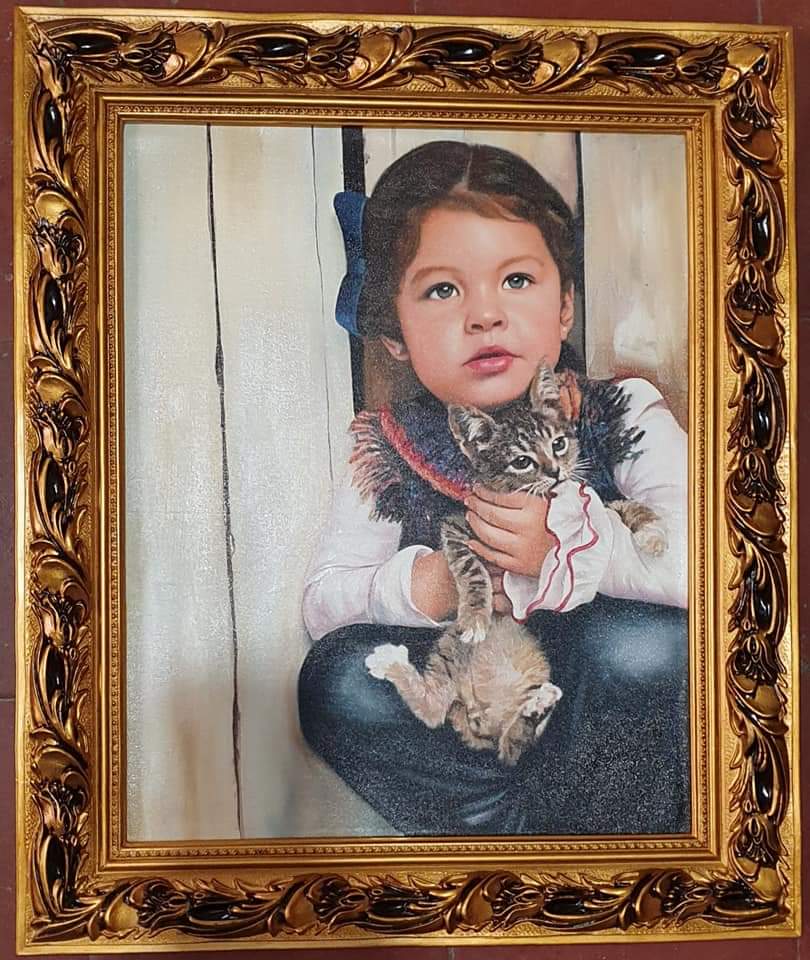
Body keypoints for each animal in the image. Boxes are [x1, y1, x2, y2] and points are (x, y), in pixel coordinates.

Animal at [366, 364, 667, 765]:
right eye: (522, 461)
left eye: (558, 443)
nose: (555, 471)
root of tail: (477, 712)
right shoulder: (459, 527)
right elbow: (471, 569)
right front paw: (475, 616)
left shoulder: (593, 502)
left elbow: (622, 507)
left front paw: (652, 533)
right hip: (450, 650)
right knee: (439, 713)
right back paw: (393, 662)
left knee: (509, 742)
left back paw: (536, 705)